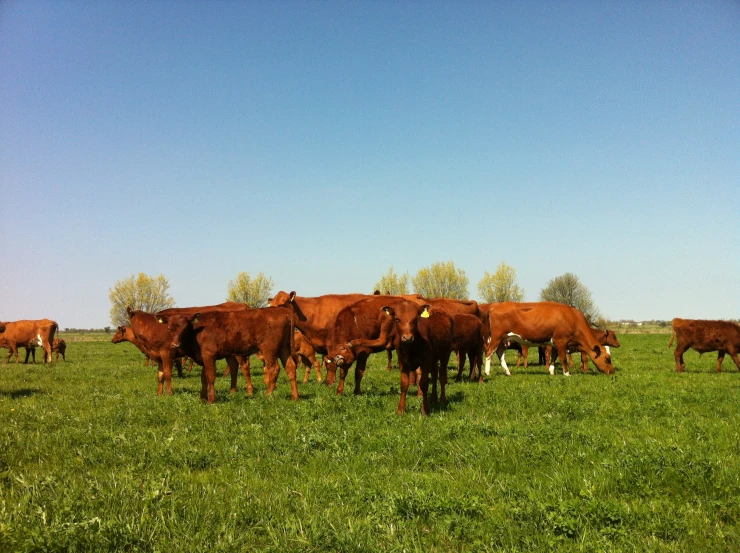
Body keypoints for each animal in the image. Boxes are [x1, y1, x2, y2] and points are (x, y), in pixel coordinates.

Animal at [482, 302, 616, 376]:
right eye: (607, 359)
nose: (612, 372)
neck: (573, 318)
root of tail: (494, 305)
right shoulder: (561, 341)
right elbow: (563, 358)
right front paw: (567, 373)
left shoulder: (555, 343)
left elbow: (554, 357)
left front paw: (551, 371)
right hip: (496, 337)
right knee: (489, 352)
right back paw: (487, 372)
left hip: (503, 340)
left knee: (499, 353)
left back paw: (507, 372)